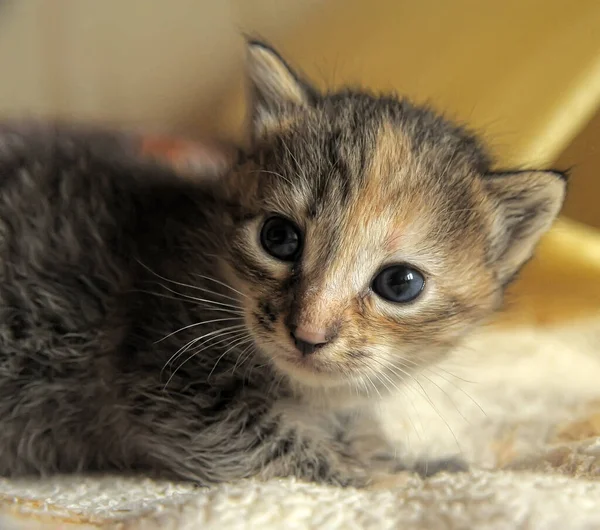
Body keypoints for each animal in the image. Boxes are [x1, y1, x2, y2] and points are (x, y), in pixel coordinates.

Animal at [0, 40, 568, 486]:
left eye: (400, 284)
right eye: (279, 239)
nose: (308, 333)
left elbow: (356, 429)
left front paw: (406, 460)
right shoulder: (166, 375)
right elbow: (281, 446)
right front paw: (388, 478)